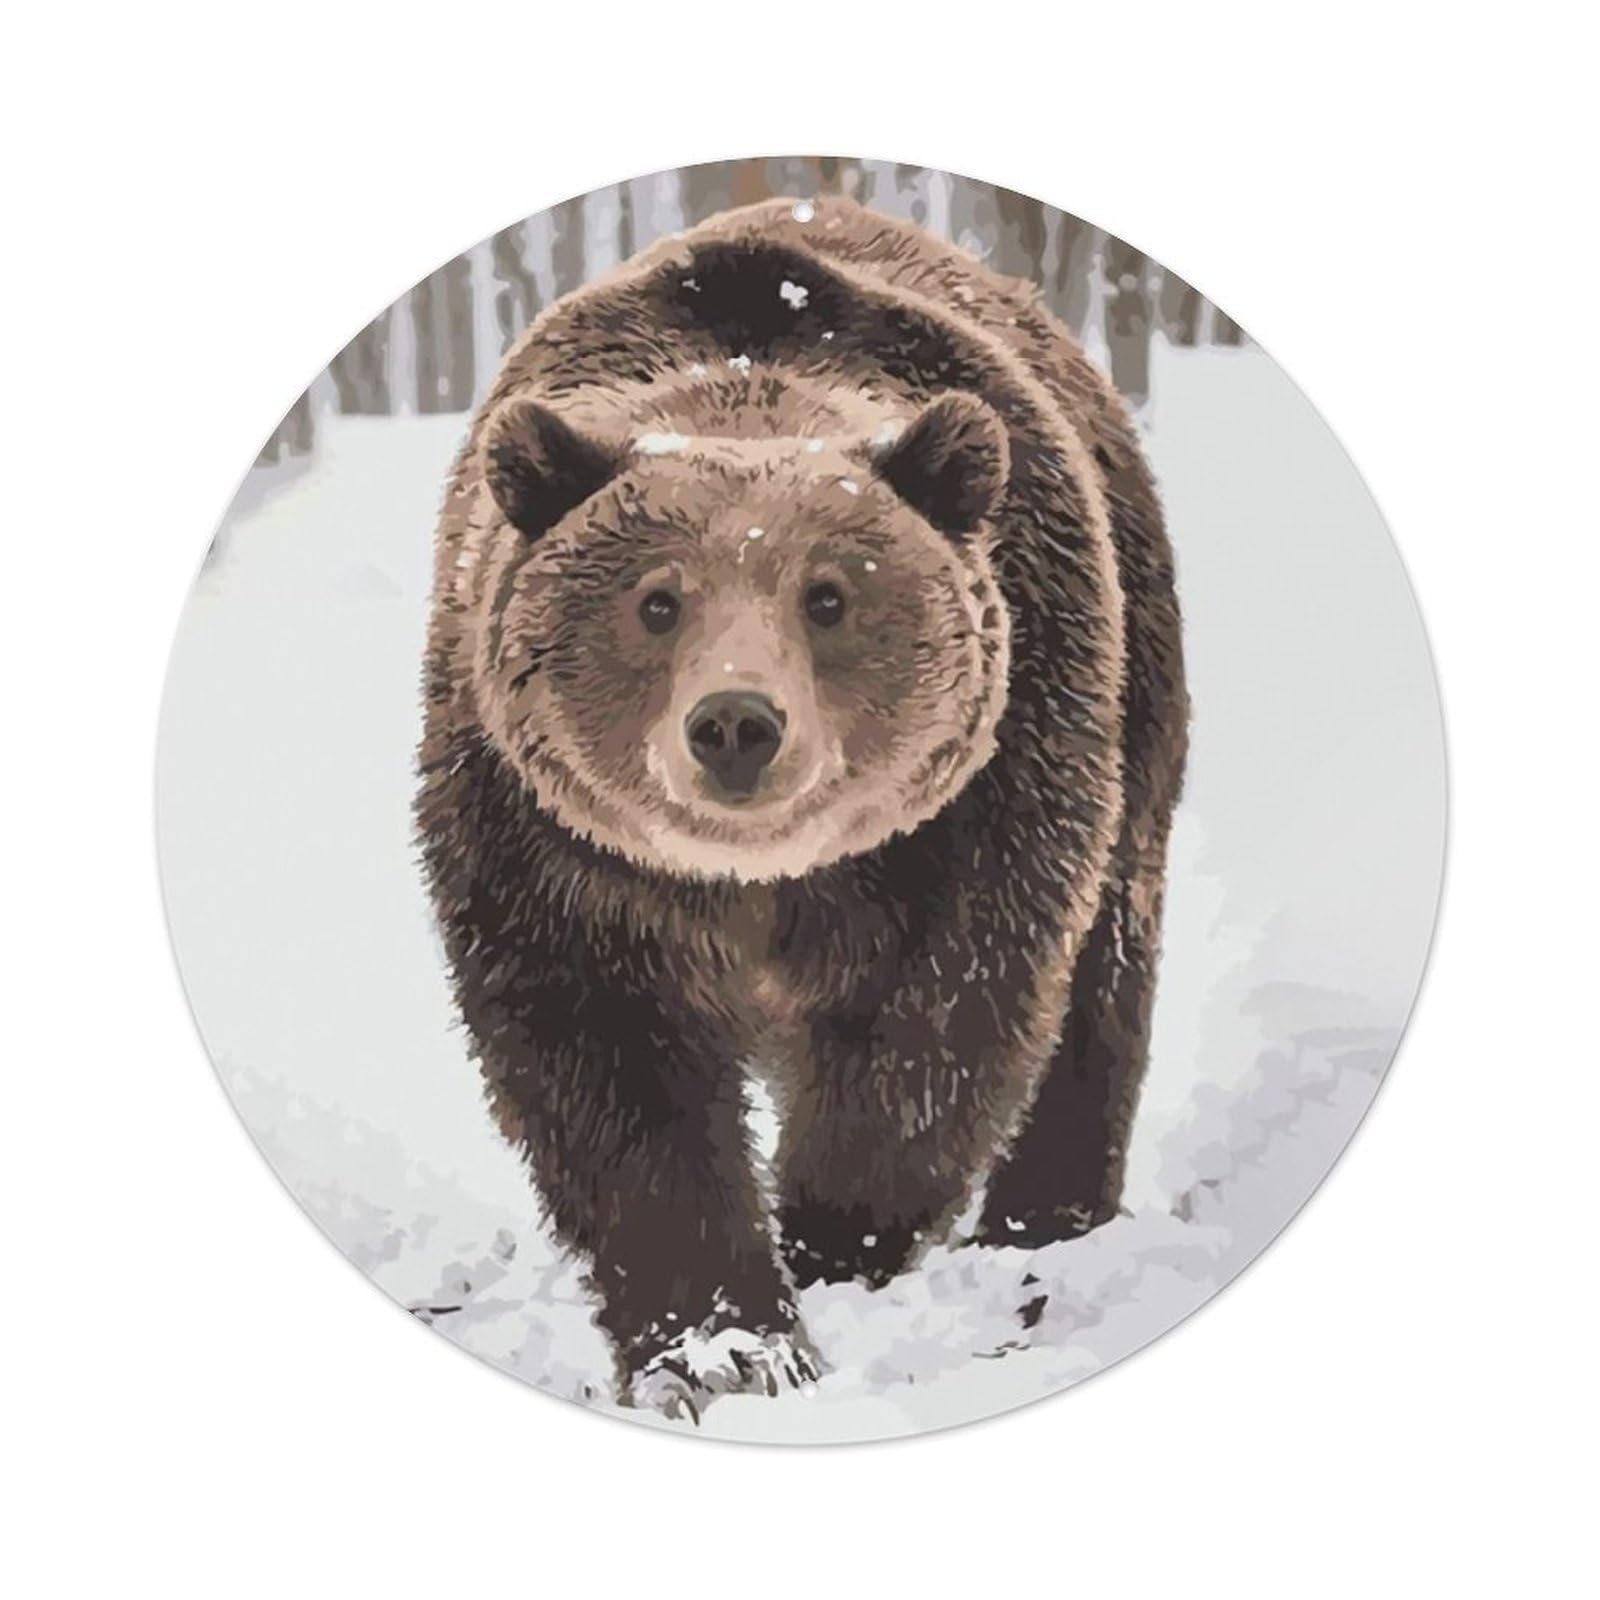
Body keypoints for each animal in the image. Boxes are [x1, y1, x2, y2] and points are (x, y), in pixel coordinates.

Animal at [416, 195, 1188, 1418]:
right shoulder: (543, 842)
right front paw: (723, 1344)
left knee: (1103, 976)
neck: (758, 884)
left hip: (1136, 688)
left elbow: (940, 1027)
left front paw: (829, 1242)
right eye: (657, 600)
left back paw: (1045, 1227)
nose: (736, 723)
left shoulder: (983, 797)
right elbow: (611, 1078)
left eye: (828, 596)